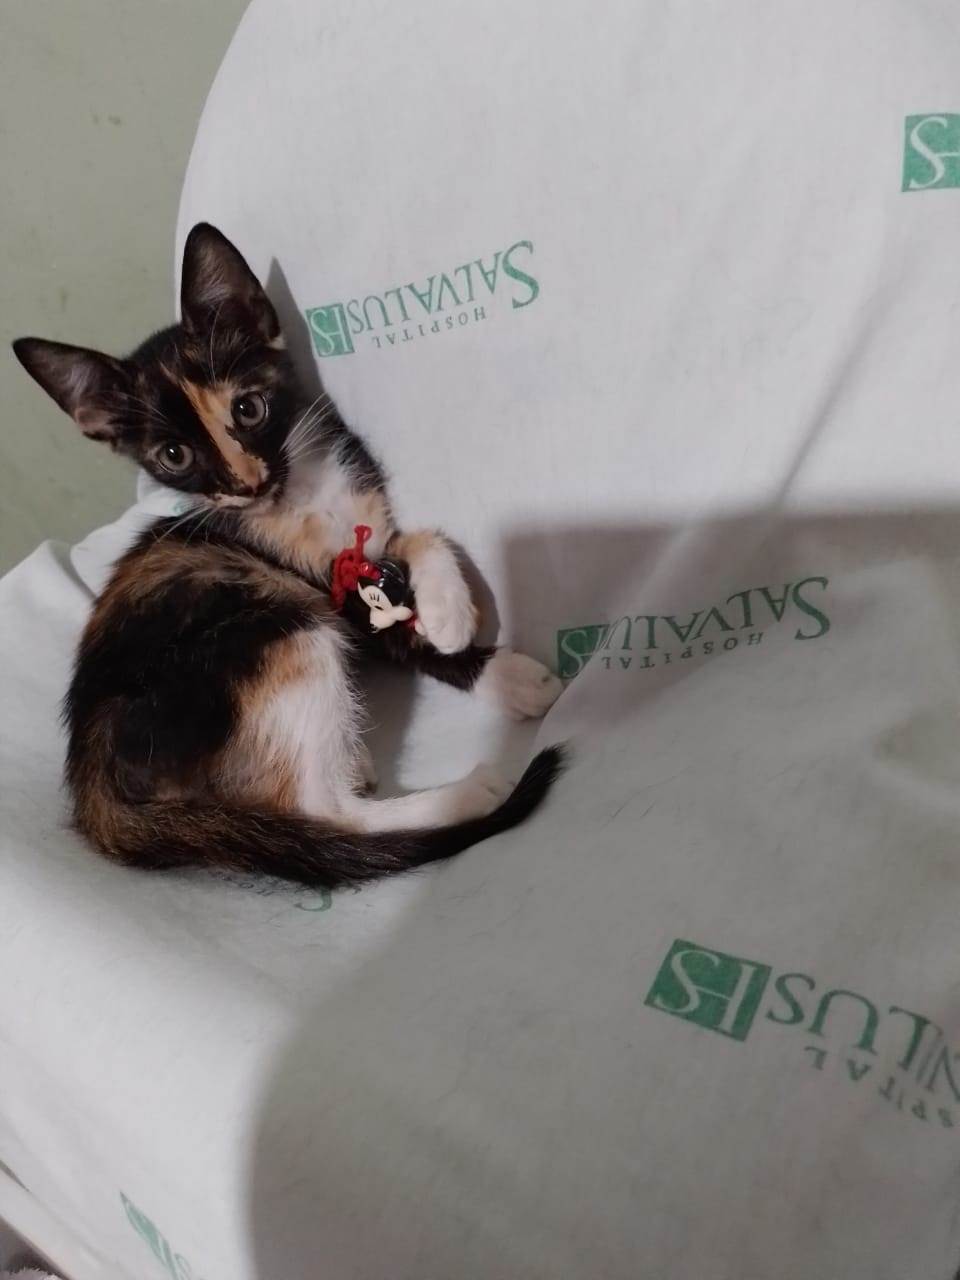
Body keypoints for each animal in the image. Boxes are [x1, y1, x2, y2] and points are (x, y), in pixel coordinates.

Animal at [12, 223, 565, 890]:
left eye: (248, 409)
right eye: (173, 455)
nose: (245, 484)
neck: (298, 496)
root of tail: (94, 791)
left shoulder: (366, 541)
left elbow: (415, 540)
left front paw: (448, 612)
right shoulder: (319, 587)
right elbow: (391, 633)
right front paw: (497, 667)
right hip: (279, 628)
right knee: (324, 812)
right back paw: (461, 796)